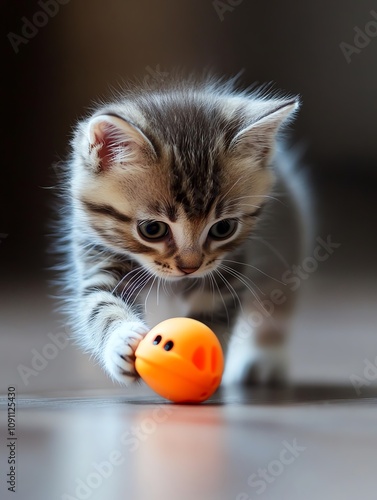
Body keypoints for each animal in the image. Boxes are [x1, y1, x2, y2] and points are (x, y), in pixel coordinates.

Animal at [58, 75, 302, 386]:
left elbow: (215, 318)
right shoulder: (96, 254)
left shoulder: (227, 272)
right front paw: (121, 341)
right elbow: (100, 304)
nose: (190, 267)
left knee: (275, 304)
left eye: (223, 228)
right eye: (152, 229)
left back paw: (263, 357)